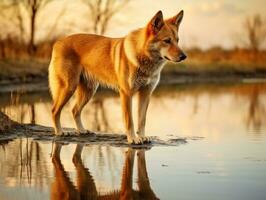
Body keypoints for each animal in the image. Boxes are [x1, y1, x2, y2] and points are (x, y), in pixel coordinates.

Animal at [48, 10, 185, 144]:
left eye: (177, 40)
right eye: (167, 41)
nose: (184, 56)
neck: (143, 56)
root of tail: (58, 42)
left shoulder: (146, 93)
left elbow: (142, 120)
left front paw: (142, 137)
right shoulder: (126, 94)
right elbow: (130, 120)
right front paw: (133, 139)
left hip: (89, 91)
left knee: (75, 110)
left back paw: (81, 130)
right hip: (69, 87)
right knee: (55, 110)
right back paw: (60, 132)